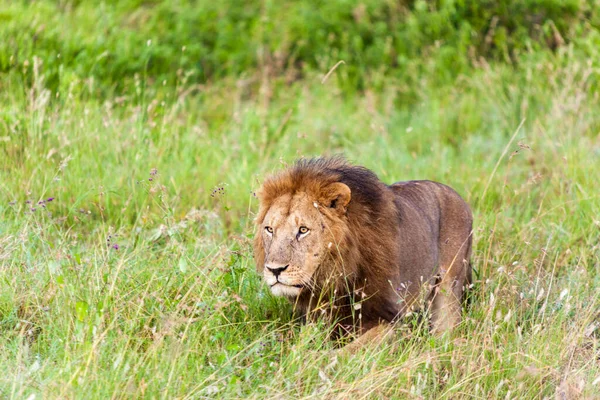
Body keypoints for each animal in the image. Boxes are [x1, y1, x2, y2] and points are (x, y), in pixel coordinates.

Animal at [253, 156, 474, 344]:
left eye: (303, 230)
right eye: (270, 229)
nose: (275, 270)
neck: (338, 272)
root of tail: (458, 196)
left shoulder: (391, 320)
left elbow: (351, 350)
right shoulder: (319, 318)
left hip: (449, 290)